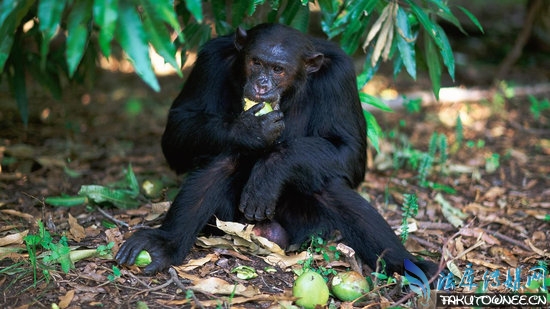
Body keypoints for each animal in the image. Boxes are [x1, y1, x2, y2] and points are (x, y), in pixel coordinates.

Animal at [115, 23, 440, 276]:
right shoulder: (210, 60)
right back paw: (164, 244)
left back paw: (411, 266)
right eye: (256, 62)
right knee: (224, 157)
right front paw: (250, 130)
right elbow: (179, 127)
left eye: (278, 69)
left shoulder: (341, 76)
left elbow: (350, 151)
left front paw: (271, 169)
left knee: (327, 184)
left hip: (308, 228)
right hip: (226, 221)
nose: (261, 84)